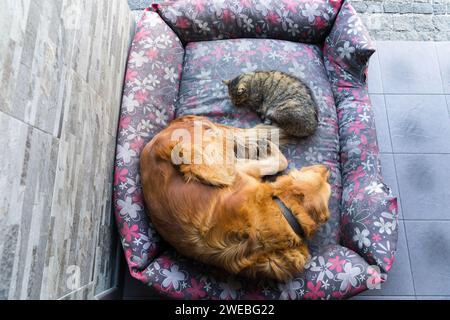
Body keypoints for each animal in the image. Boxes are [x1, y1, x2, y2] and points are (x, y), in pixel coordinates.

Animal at [141, 116, 330, 282]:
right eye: (322, 180)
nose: (326, 168)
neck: (286, 213)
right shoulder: (244, 172)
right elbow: (279, 162)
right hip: (215, 162)